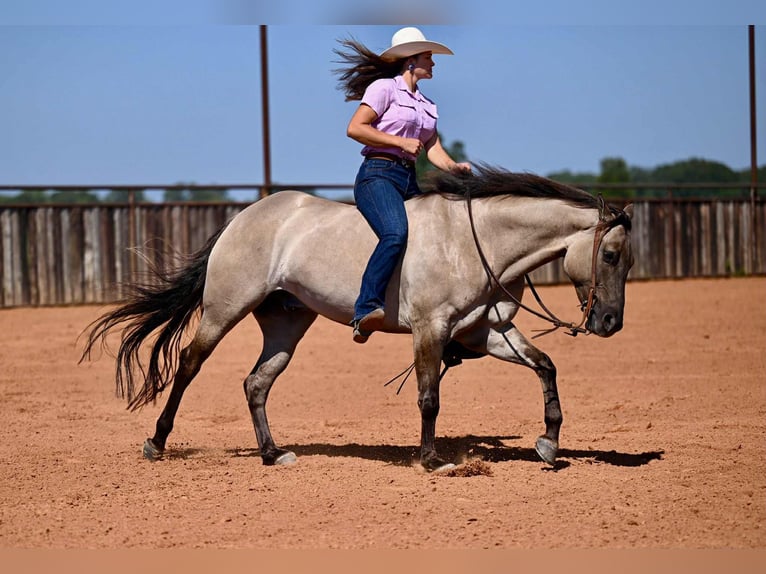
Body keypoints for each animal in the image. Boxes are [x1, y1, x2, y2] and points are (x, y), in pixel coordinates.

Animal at [80, 165, 634, 473]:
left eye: (628, 262)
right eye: (610, 255)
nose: (610, 323)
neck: (475, 241)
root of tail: (243, 217)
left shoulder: (488, 332)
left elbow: (546, 367)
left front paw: (549, 443)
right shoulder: (430, 329)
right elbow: (430, 397)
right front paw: (431, 460)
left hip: (286, 324)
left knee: (256, 382)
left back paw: (272, 453)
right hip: (224, 309)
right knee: (189, 366)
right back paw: (156, 442)